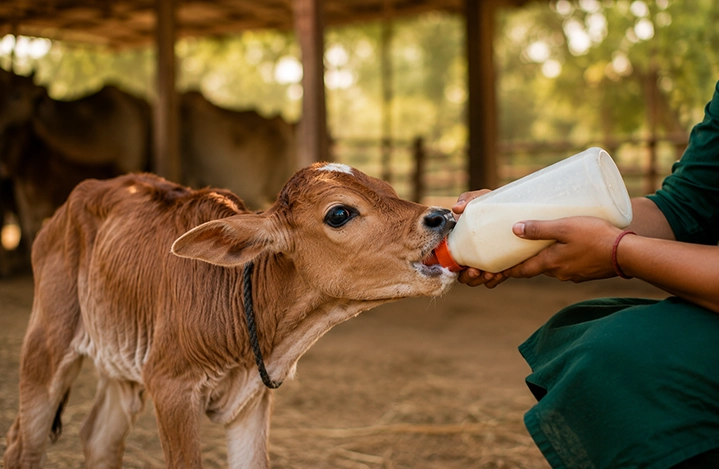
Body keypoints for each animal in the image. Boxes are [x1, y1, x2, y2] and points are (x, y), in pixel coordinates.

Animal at [4, 162, 456, 468]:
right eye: (339, 213)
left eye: (388, 189)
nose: (443, 216)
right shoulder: (170, 385)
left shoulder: (253, 399)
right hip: (47, 341)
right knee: (24, 443)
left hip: (121, 361)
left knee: (98, 437)